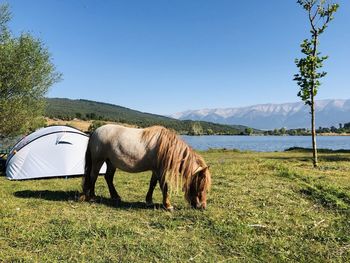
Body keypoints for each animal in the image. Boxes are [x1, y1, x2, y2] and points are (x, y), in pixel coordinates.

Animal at [81, 125, 212, 211]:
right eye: (201, 186)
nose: (203, 207)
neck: (167, 147)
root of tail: (95, 131)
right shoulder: (160, 170)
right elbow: (164, 186)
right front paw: (168, 205)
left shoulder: (155, 170)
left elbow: (152, 184)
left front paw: (149, 201)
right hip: (98, 160)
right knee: (93, 176)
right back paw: (91, 197)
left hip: (111, 162)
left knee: (108, 177)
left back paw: (115, 197)